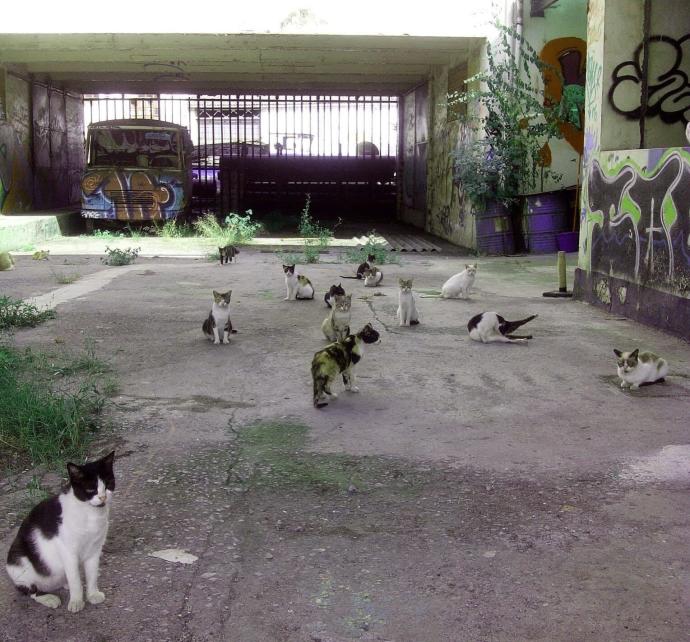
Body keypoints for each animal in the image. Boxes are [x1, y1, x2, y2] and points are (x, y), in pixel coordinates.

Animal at [5, 450, 115, 608]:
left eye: (108, 484)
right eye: (91, 489)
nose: (103, 497)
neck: (90, 514)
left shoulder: (94, 549)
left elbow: (92, 575)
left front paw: (92, 594)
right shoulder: (68, 551)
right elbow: (75, 580)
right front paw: (76, 601)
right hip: (19, 561)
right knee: (31, 591)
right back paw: (48, 598)